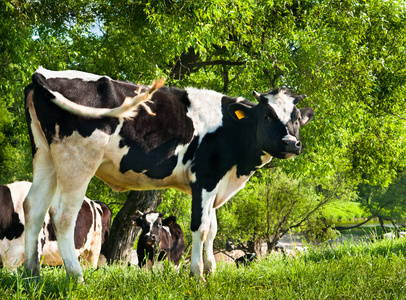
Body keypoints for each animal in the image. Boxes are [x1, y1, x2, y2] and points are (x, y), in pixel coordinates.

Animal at [23, 67, 314, 280]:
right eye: (267, 116)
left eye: (296, 118)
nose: (291, 143)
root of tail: (44, 74)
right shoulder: (205, 178)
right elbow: (200, 227)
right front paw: (198, 275)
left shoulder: (216, 182)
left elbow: (213, 228)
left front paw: (211, 271)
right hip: (78, 159)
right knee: (63, 215)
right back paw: (76, 277)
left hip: (44, 155)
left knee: (33, 208)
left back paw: (31, 275)